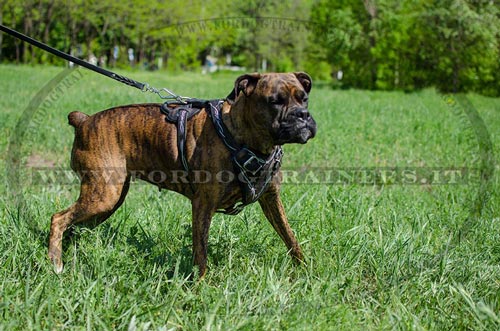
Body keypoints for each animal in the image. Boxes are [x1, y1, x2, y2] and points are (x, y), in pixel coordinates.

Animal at [48, 72, 318, 278]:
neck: (242, 136)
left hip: (106, 201)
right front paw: (200, 286)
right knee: (59, 219)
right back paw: (56, 263)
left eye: (304, 99)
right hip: (103, 196)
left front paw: (305, 270)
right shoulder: (203, 205)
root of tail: (84, 121)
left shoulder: (271, 199)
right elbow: (201, 252)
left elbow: (289, 236)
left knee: (72, 225)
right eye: (275, 101)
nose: (303, 115)